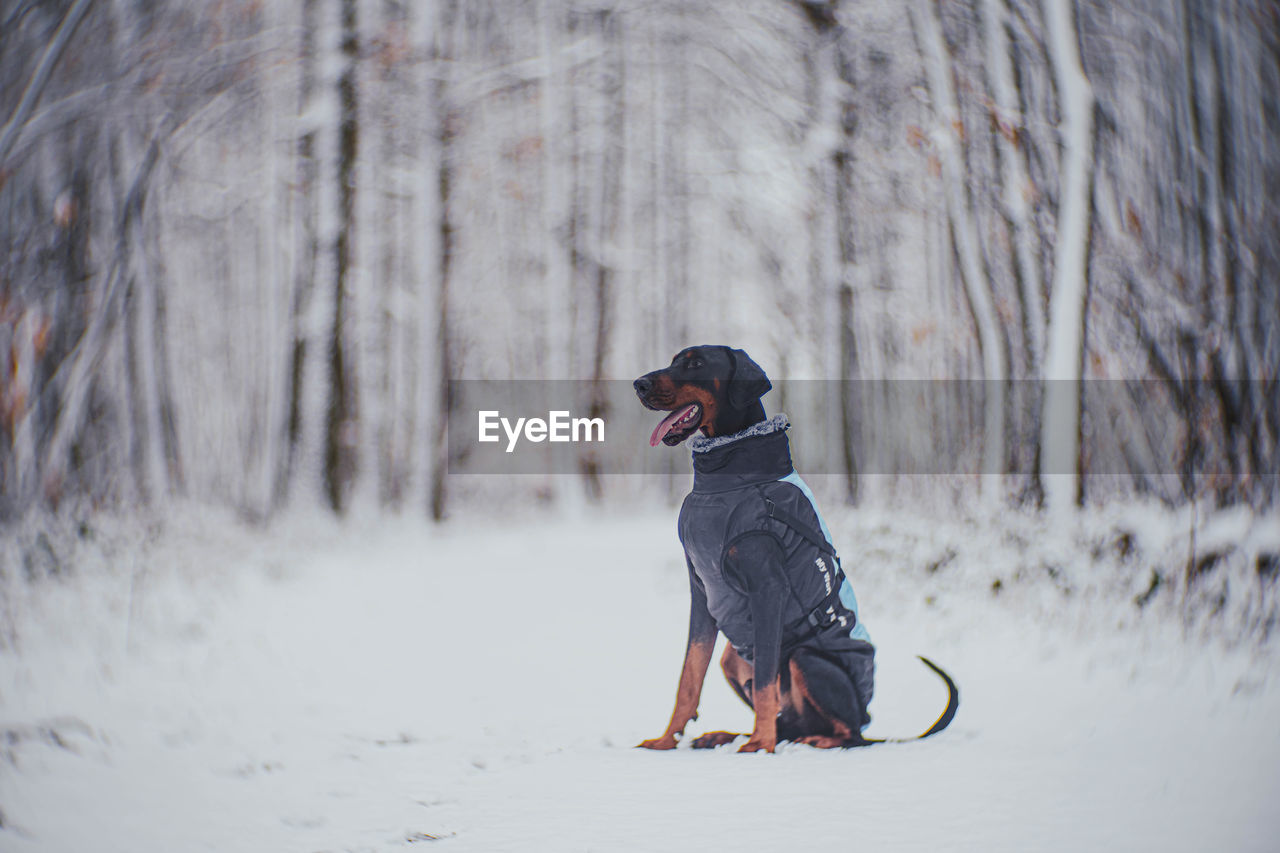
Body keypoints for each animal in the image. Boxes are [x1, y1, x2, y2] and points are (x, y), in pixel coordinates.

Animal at [634, 345, 957, 753]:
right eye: (675, 359)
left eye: (695, 363)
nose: (639, 384)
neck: (726, 476)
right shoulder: (703, 592)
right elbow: (689, 675)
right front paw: (665, 741)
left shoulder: (768, 588)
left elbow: (766, 680)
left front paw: (760, 745)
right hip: (732, 657)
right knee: (785, 719)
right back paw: (724, 736)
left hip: (806, 659)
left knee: (848, 734)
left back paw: (807, 738)